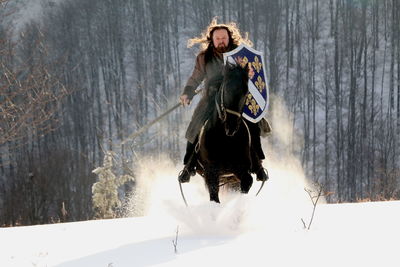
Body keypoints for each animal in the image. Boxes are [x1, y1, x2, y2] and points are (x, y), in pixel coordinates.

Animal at [195, 63, 255, 204]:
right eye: (226, 90)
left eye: (246, 92)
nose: (231, 126)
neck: (224, 139)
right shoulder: (211, 172)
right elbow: (214, 196)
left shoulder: (240, 169)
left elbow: (247, 182)